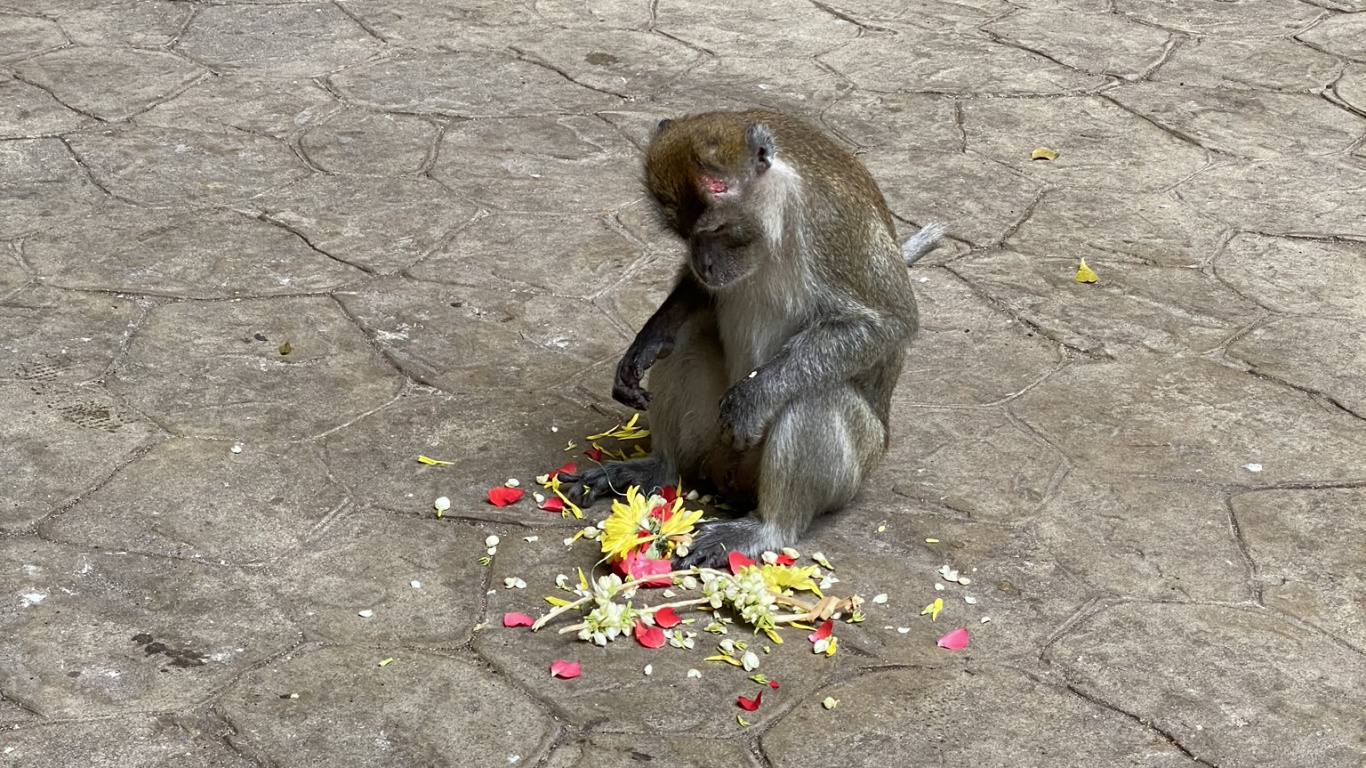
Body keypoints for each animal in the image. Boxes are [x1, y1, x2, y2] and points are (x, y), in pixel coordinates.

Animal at [560, 109, 943, 569]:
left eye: (720, 229)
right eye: (686, 234)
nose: (704, 262)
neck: (778, 213)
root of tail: (730, 479)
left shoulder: (832, 225)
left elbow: (888, 322)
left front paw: (753, 399)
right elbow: (696, 297)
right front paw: (649, 340)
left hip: (853, 468)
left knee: (816, 393)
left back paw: (766, 527)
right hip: (711, 444)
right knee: (688, 343)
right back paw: (662, 468)